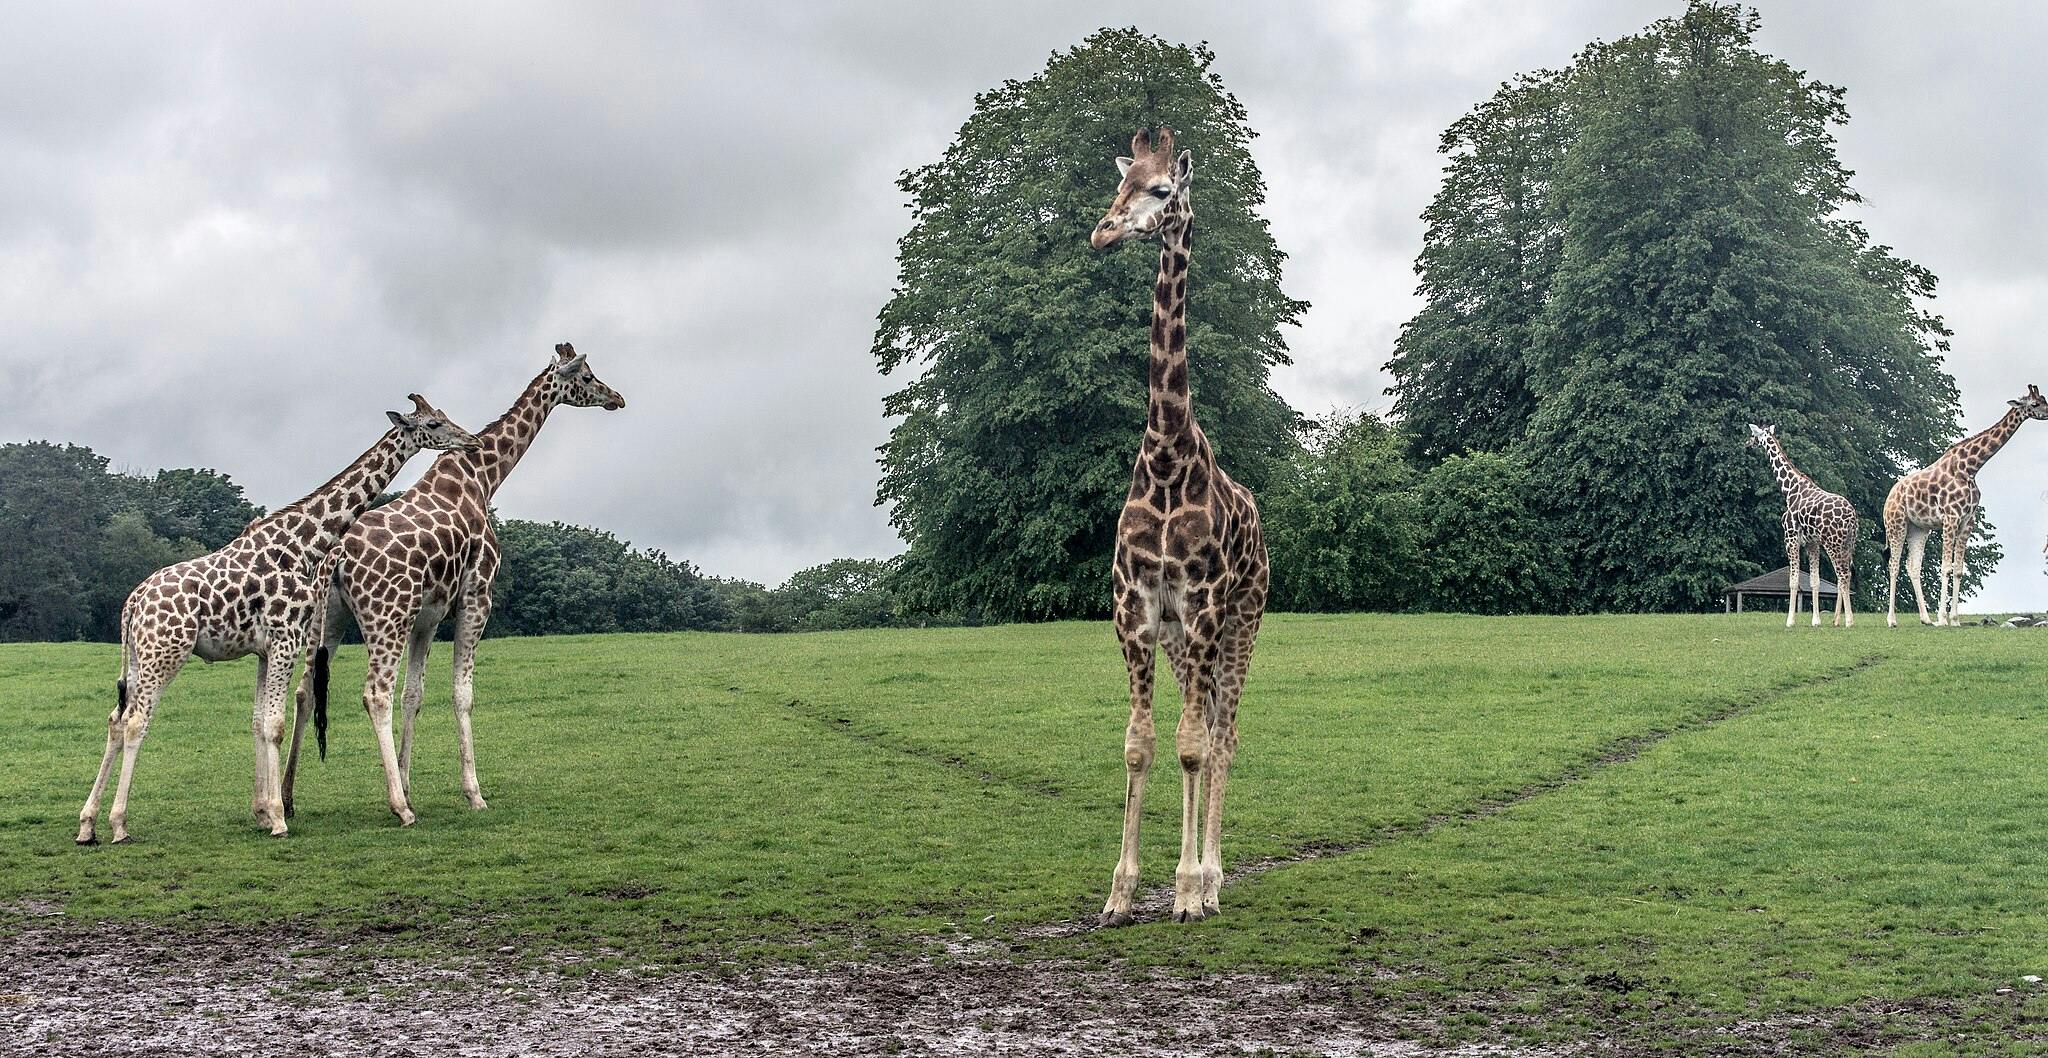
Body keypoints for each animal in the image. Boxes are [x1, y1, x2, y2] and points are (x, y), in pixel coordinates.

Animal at [75, 396, 477, 844]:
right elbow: (275, 724)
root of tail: (133, 602)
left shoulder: (265, 650)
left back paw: (87, 824)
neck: (305, 544)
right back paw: (119, 824)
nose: (472, 441)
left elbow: (257, 722)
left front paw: (263, 813)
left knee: (115, 719)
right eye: (433, 424)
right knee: (135, 722)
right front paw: (279, 818)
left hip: (137, 656)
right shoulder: (286, 640)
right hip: (165, 653)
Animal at [282, 343, 624, 825]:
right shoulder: (477, 596)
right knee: (375, 693)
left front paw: (410, 784)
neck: (483, 477)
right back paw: (397, 808)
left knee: (305, 690)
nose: (618, 398)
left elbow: (415, 694)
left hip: (327, 621)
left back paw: (288, 798)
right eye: (589, 376)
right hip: (386, 617)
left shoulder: (428, 614)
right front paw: (472, 792)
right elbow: (462, 694)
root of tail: (336, 557)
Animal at [1745, 424, 1859, 628]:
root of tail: (1851, 516)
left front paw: (1790, 621)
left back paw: (1849, 621)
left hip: (1833, 543)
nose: (1747, 443)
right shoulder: (1812, 543)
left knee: (1843, 575)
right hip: (1849, 544)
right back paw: (1837, 620)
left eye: (1753, 434)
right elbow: (1814, 581)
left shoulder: (1790, 537)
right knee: (1845, 576)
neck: (1790, 490)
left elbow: (1793, 581)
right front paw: (1816, 621)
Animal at [1885, 384, 2048, 627]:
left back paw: (1925, 619)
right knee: (1893, 565)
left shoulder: (1967, 521)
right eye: (2035, 404)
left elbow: (1959, 569)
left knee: (1912, 566)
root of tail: (1889, 497)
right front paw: (1943, 619)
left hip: (1919, 529)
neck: (1971, 468)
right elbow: (1945, 567)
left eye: (2045, 400)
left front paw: (1954, 619)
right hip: (1896, 524)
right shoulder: (1950, 518)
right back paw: (1892, 620)